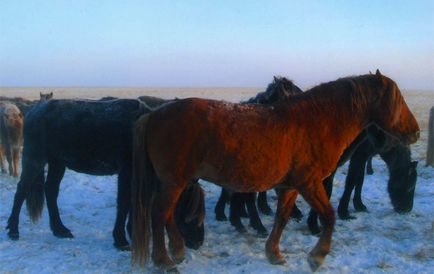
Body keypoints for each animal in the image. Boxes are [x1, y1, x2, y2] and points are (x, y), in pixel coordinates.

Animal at [5, 96, 205, 250]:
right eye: (189, 208)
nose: (198, 242)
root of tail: (32, 111)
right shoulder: (126, 171)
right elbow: (124, 203)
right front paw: (121, 239)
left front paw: (130, 231)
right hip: (35, 159)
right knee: (21, 191)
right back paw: (13, 230)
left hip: (57, 163)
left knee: (51, 191)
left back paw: (59, 229)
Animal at [131, 70, 418, 272]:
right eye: (398, 100)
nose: (415, 132)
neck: (316, 122)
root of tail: (154, 114)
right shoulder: (310, 183)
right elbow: (329, 216)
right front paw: (317, 257)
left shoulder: (290, 187)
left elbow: (282, 218)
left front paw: (274, 253)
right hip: (173, 183)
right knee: (159, 214)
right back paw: (165, 261)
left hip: (175, 183)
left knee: (167, 215)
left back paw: (177, 251)